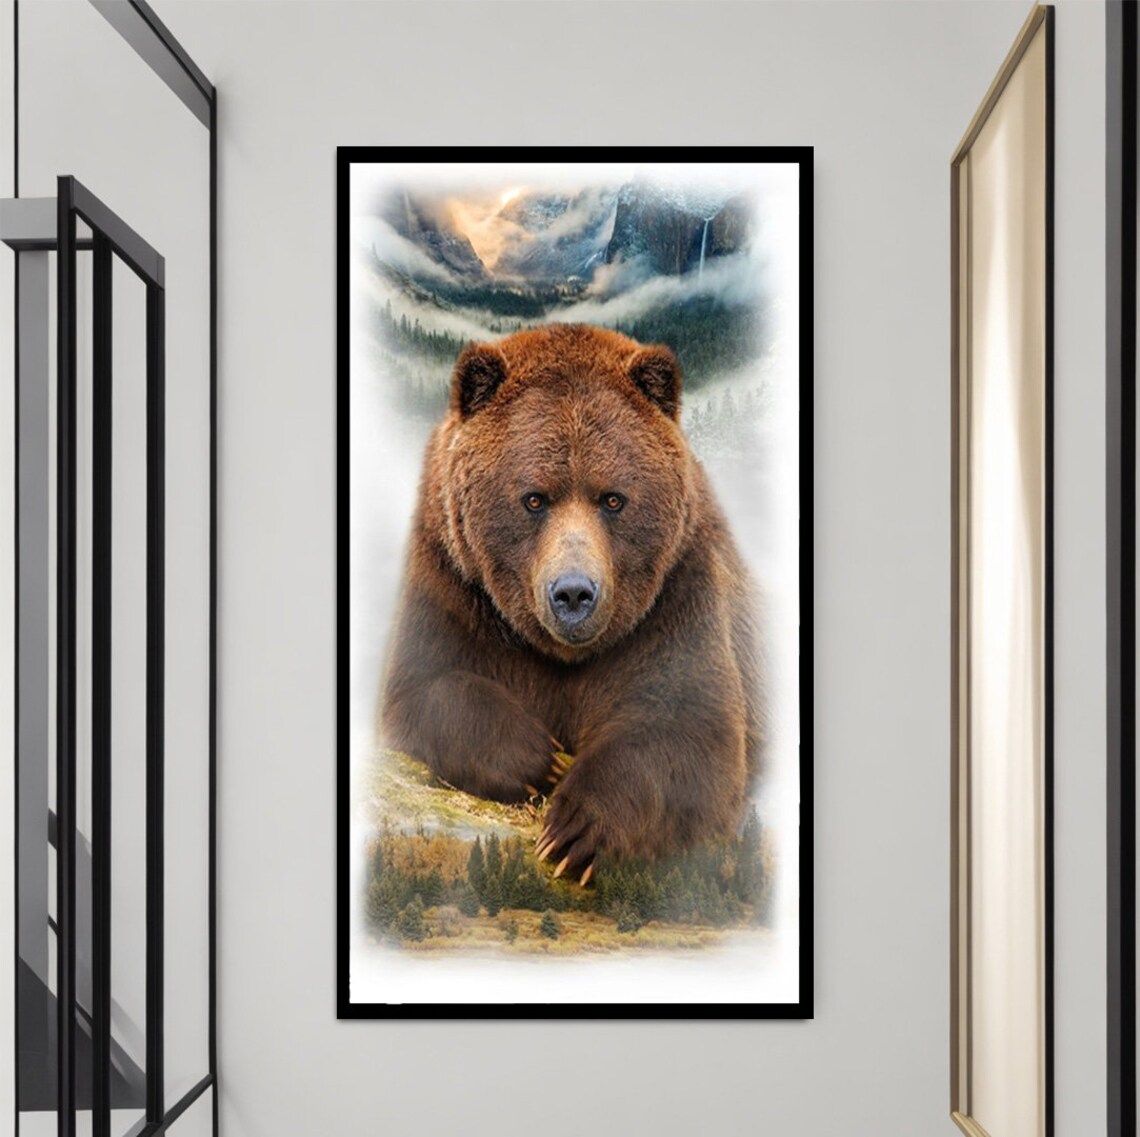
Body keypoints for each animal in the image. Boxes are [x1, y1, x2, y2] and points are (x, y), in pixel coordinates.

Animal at [379, 323, 763, 883]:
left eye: (613, 498)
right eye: (534, 498)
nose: (574, 594)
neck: (561, 653)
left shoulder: (677, 597)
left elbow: (690, 732)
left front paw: (576, 830)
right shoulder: (451, 583)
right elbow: (425, 688)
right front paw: (540, 760)